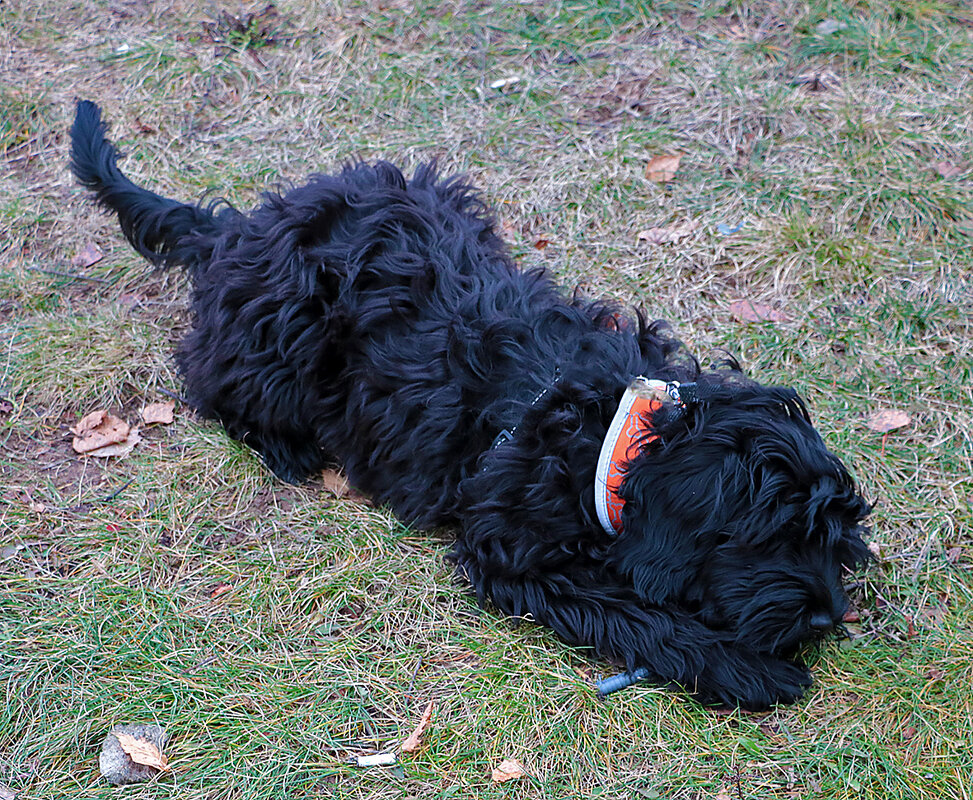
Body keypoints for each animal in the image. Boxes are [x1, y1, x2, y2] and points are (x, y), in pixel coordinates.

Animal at [72, 100, 868, 708]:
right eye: (772, 534)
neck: (612, 434)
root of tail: (237, 232)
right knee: (206, 379)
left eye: (837, 530)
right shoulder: (512, 552)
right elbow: (631, 611)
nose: (829, 616)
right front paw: (743, 667)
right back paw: (286, 446)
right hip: (280, 340)